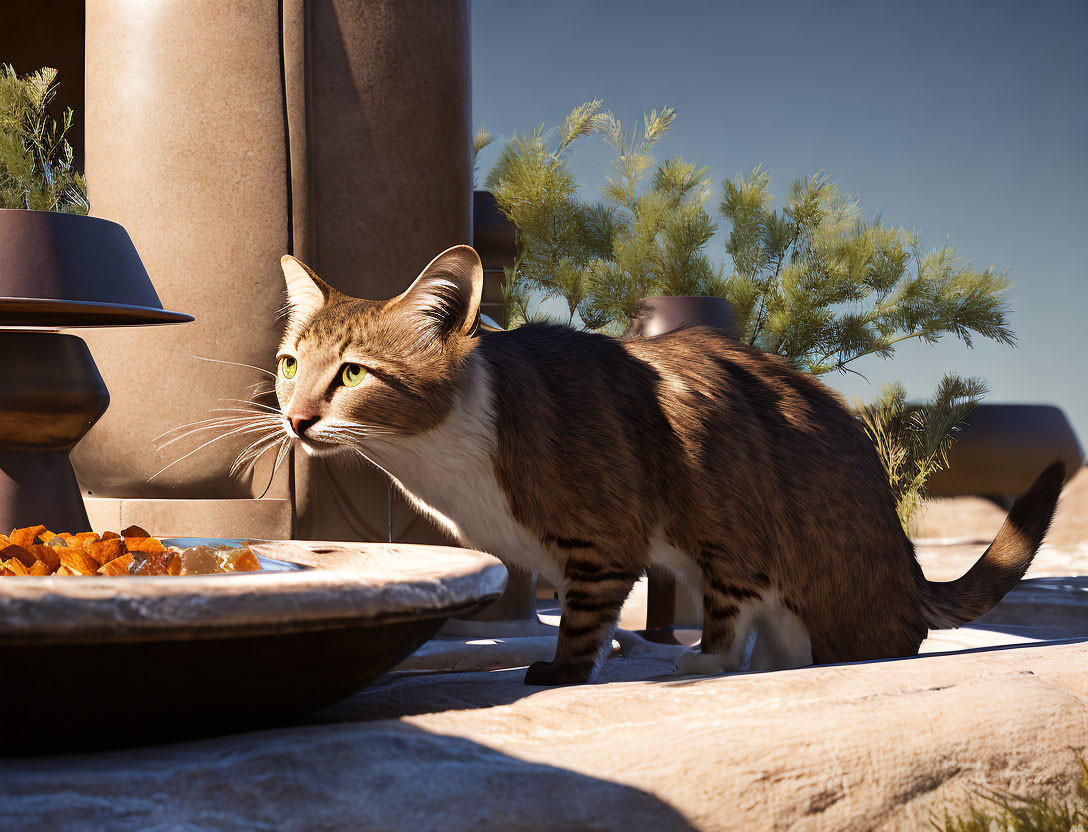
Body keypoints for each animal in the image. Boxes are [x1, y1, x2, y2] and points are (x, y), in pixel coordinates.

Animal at [272, 243, 1061, 683]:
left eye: (352, 373)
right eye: (289, 364)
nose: (295, 419)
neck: (446, 450)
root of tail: (905, 567)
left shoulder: (604, 536)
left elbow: (585, 619)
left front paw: (562, 673)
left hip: (734, 508)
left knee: (740, 603)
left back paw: (706, 658)